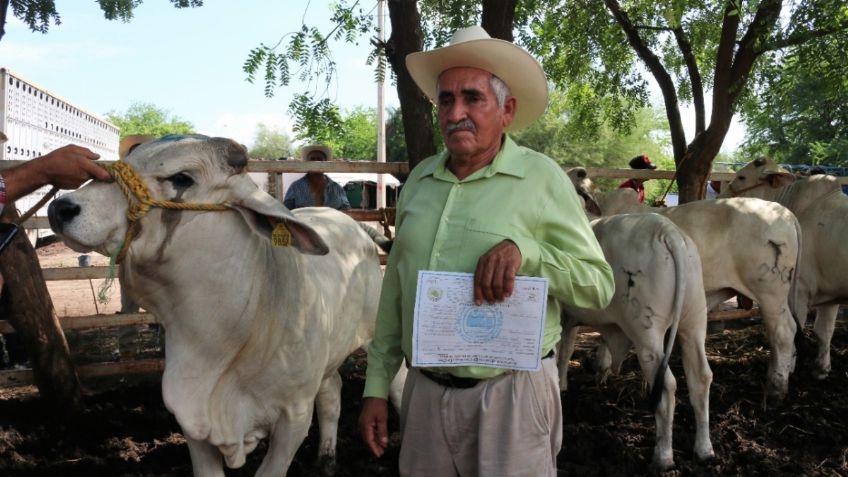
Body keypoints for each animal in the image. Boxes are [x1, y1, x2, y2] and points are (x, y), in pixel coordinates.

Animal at [47, 135, 404, 476]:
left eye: (182, 178)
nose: (61, 208)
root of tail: (354, 226)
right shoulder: (191, 421)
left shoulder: (294, 418)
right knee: (332, 392)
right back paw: (327, 459)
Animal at [560, 214, 712, 470]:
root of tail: (668, 231)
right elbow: (573, 349)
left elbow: (561, 352)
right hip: (694, 321)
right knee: (701, 377)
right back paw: (704, 450)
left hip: (646, 335)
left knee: (666, 387)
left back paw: (663, 457)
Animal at [724, 158, 848, 378]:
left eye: (742, 177)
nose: (723, 195)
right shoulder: (831, 294)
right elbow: (824, 330)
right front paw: (822, 369)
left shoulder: (799, 291)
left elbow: (795, 330)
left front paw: (788, 368)